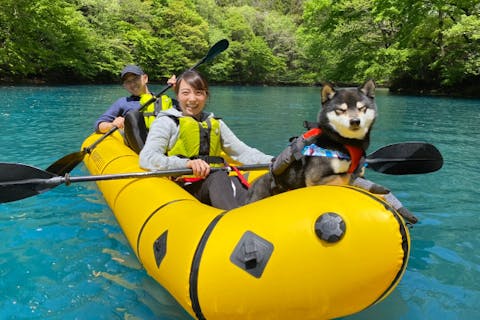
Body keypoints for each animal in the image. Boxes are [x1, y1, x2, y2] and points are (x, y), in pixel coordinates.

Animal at [246, 80, 418, 224]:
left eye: (362, 108)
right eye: (340, 110)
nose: (355, 121)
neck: (345, 142)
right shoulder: (315, 178)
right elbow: (346, 175)